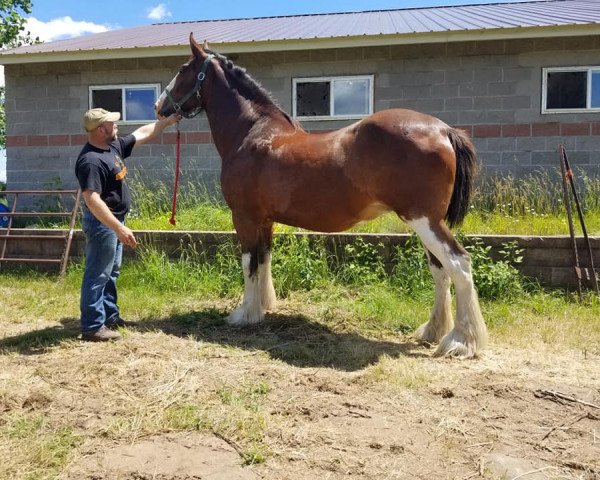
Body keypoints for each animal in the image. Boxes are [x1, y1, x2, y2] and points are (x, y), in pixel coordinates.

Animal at [156, 32, 488, 356]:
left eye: (182, 69)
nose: (159, 107)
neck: (253, 134)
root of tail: (443, 130)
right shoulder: (265, 220)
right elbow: (264, 258)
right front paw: (264, 307)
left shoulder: (244, 217)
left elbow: (249, 262)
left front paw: (244, 314)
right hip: (426, 223)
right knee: (440, 269)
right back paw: (433, 331)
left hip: (423, 220)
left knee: (458, 263)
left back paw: (460, 342)